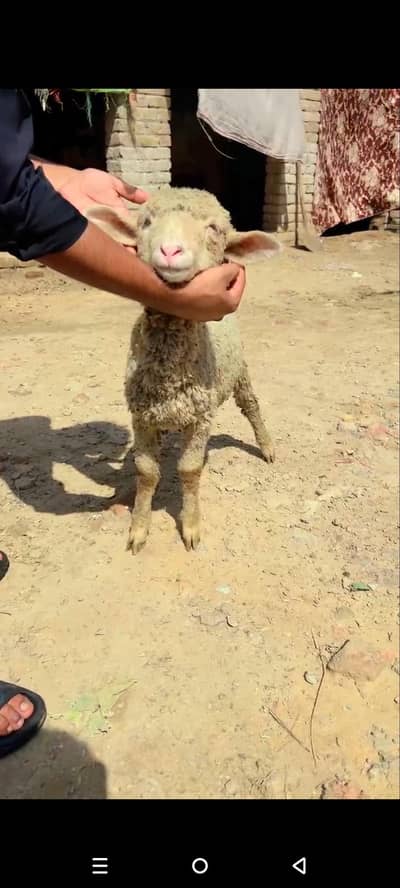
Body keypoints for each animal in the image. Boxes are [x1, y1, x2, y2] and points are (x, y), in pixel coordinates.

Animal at [87, 187, 282, 552]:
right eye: (146, 222)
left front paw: (190, 525)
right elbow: (147, 471)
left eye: (214, 229)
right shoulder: (142, 417)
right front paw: (139, 527)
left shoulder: (201, 419)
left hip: (240, 374)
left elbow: (190, 470)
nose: (170, 250)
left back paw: (267, 447)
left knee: (252, 407)